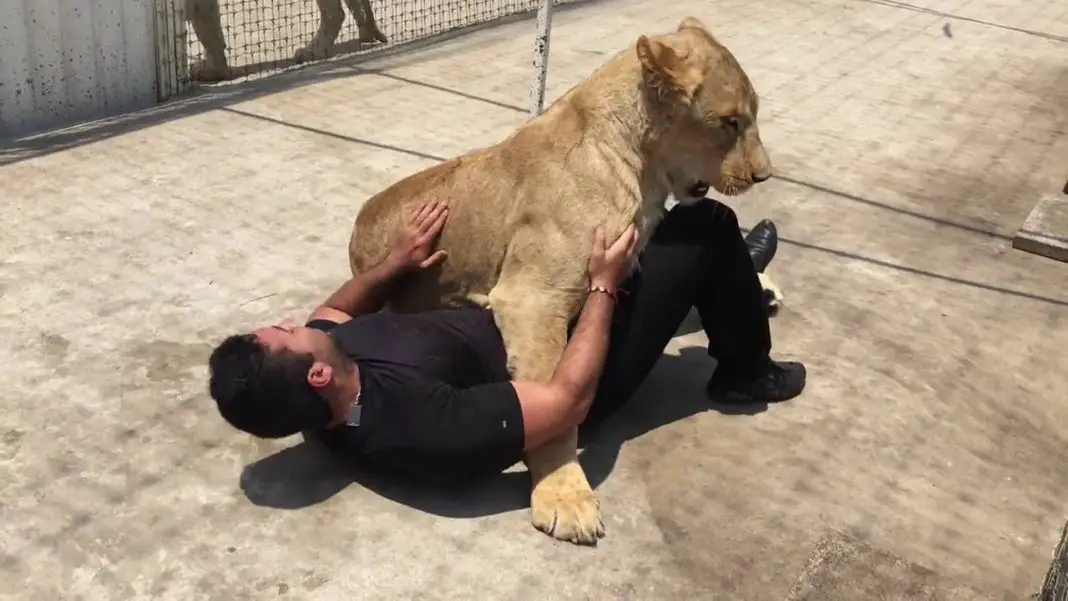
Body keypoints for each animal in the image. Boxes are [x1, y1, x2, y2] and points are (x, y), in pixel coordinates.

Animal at [350, 17, 777, 546]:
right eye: (731, 122)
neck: (641, 161)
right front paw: (564, 498)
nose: (764, 176)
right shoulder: (532, 298)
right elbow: (554, 407)